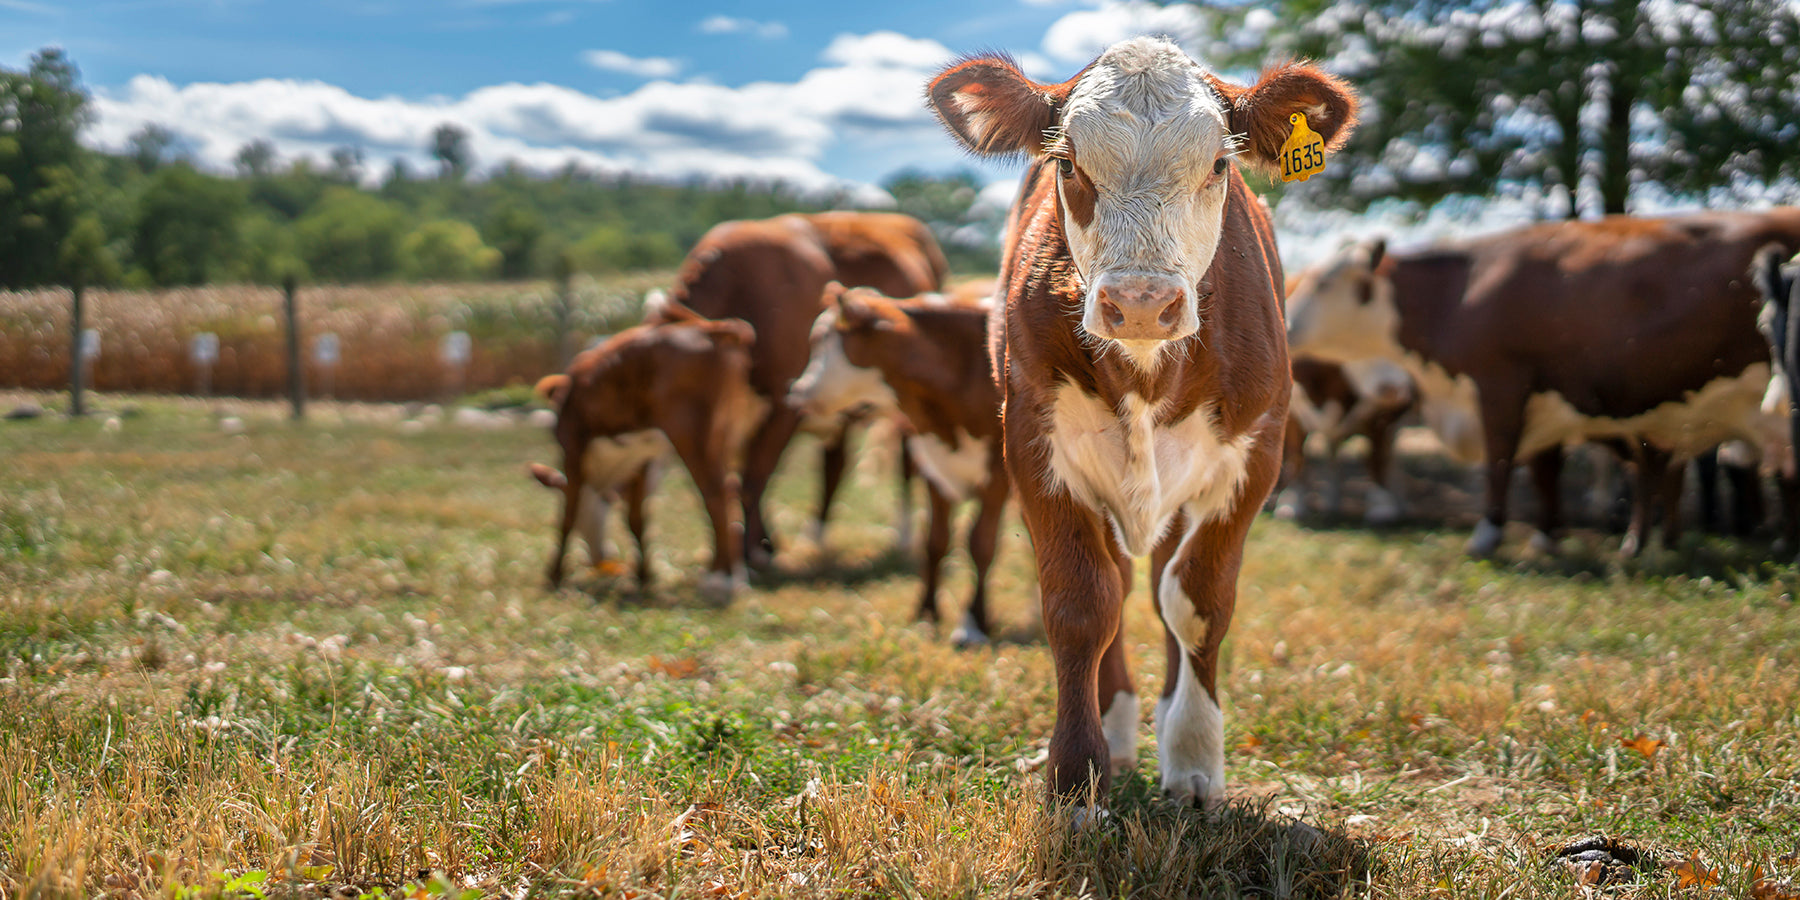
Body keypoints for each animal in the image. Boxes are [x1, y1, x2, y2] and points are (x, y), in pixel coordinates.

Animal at [533, 308, 759, 601]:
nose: (599, 558)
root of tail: (712, 329)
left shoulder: (572, 447)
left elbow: (567, 516)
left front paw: (554, 576)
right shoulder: (640, 460)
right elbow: (636, 517)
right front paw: (643, 576)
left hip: (692, 432)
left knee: (715, 495)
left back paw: (722, 582)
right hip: (725, 431)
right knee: (732, 492)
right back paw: (736, 576)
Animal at [653, 212, 949, 570]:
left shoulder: (785, 406)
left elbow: (753, 478)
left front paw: (753, 551)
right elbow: (735, 482)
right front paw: (760, 544)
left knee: (906, 464)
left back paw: (903, 536)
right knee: (834, 466)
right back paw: (815, 536)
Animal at [789, 282, 1007, 646]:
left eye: (821, 341)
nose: (796, 393)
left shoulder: (998, 476)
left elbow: (981, 544)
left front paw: (972, 624)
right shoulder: (933, 464)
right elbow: (935, 541)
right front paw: (926, 612)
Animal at [927, 37, 1357, 808]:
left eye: (1219, 163)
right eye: (1068, 162)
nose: (1140, 303)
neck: (1147, 374)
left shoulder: (1256, 455)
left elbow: (1197, 602)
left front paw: (1193, 761)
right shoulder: (1034, 451)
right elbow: (1081, 606)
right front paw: (1077, 777)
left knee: (1162, 584)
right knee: (1119, 588)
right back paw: (1120, 725)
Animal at [1275, 356, 1415, 525]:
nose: (1402, 391)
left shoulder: (1379, 421)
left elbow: (1376, 460)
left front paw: (1381, 507)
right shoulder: (1294, 417)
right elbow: (1295, 456)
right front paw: (1291, 503)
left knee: (1390, 461)